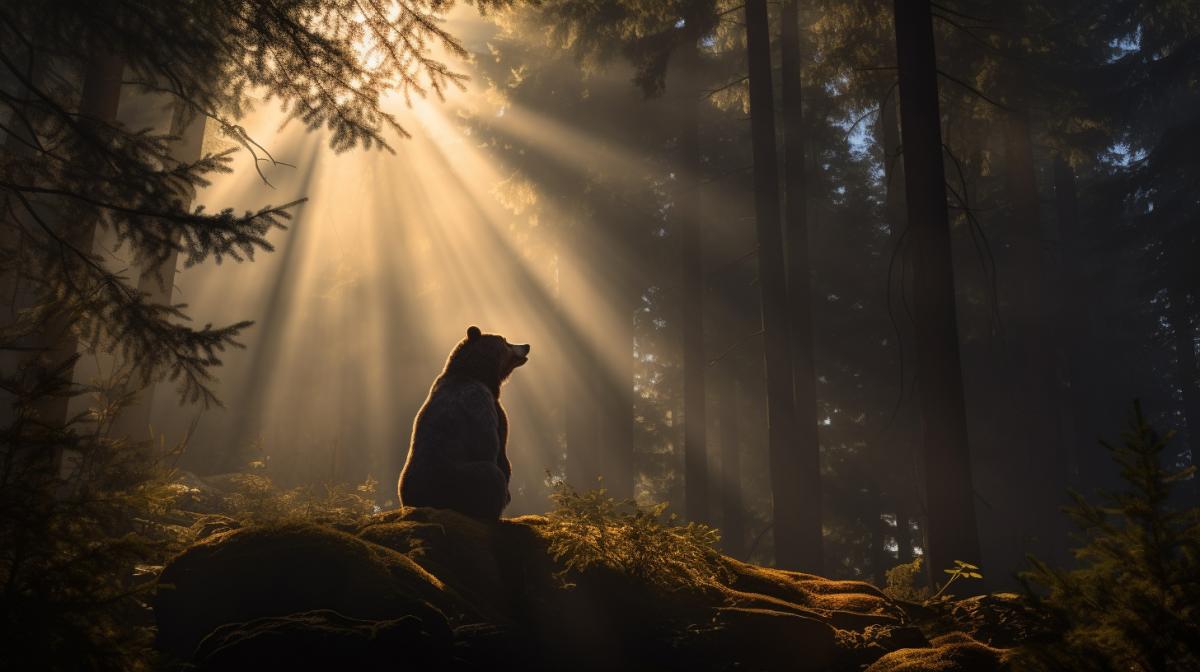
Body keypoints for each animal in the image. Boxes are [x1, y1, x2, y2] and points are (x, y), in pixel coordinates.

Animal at [398, 326, 530, 520]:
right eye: (505, 340)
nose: (526, 345)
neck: (475, 373)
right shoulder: (488, 406)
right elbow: (498, 448)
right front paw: (507, 496)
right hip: (461, 477)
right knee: (492, 477)